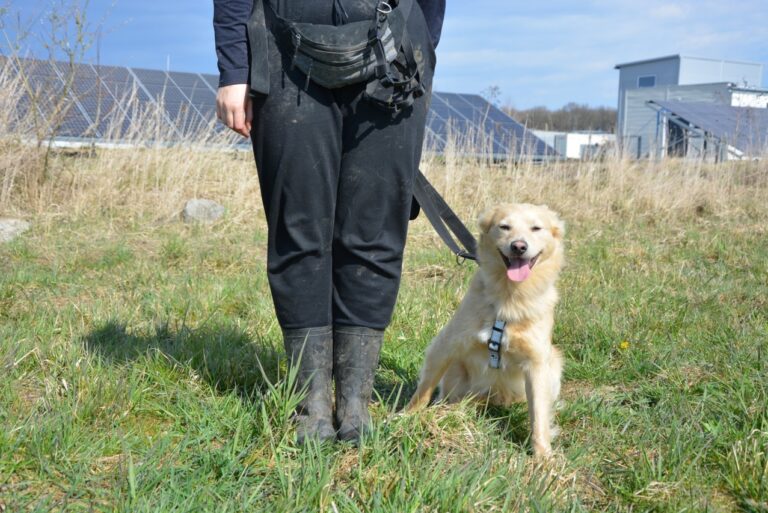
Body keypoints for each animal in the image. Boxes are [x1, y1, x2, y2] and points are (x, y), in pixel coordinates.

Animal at [408, 204, 564, 456]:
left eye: (536, 228)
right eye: (505, 226)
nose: (518, 246)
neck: (509, 300)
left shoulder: (537, 363)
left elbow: (539, 417)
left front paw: (543, 457)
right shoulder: (444, 346)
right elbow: (423, 390)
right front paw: (406, 418)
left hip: (555, 362)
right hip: (457, 372)